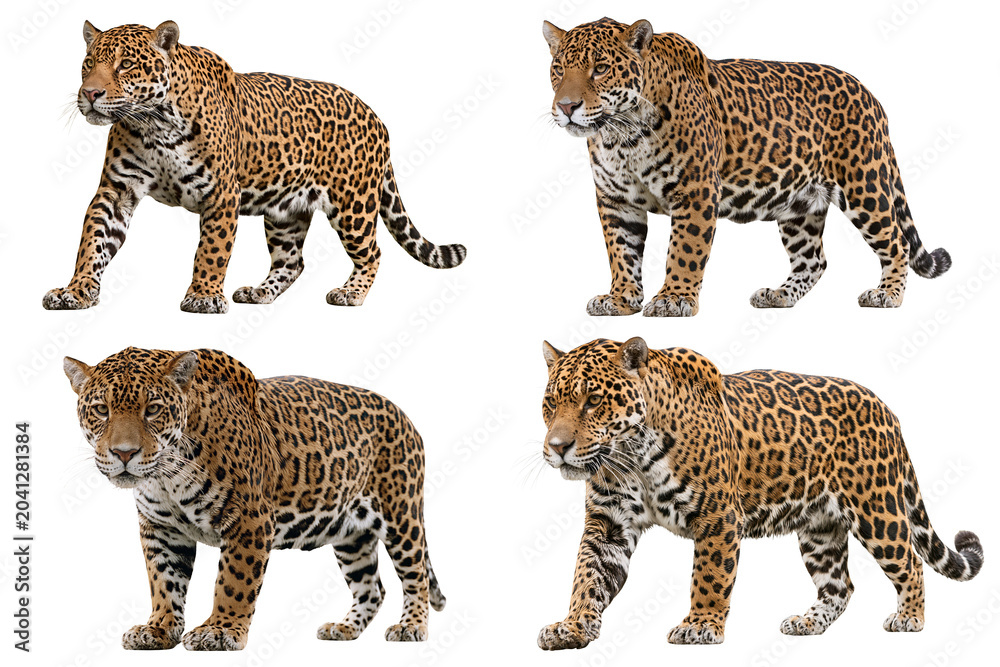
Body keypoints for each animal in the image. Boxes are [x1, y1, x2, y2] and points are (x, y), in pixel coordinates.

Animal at [44, 20, 466, 314]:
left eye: (126, 64)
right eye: (87, 64)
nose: (90, 93)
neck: (154, 124)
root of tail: (376, 117)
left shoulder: (220, 194)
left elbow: (212, 250)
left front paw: (203, 297)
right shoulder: (116, 192)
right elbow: (92, 243)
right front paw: (75, 291)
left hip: (353, 204)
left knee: (373, 252)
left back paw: (350, 293)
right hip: (286, 212)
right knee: (292, 261)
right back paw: (259, 292)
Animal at [63, 346, 446, 650]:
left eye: (153, 409)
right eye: (101, 410)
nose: (124, 453)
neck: (166, 476)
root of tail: (406, 417)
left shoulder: (249, 520)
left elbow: (234, 581)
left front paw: (219, 631)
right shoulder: (160, 528)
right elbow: (163, 581)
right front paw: (159, 629)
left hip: (402, 517)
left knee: (415, 576)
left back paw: (411, 627)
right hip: (351, 535)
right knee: (372, 588)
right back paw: (344, 628)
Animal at [536, 337, 983, 647]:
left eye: (594, 401)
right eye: (550, 403)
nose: (557, 447)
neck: (632, 456)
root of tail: (886, 408)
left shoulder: (718, 518)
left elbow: (709, 576)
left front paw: (700, 625)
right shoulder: (609, 522)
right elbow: (586, 577)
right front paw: (571, 627)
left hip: (877, 510)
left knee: (910, 563)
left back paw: (909, 618)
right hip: (820, 528)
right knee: (840, 586)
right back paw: (807, 623)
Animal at [543, 17, 950, 317]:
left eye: (600, 69)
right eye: (558, 69)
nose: (566, 106)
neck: (622, 134)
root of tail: (871, 95)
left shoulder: (696, 191)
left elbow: (685, 249)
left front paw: (673, 299)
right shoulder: (616, 200)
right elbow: (621, 253)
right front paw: (620, 299)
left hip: (864, 185)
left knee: (895, 240)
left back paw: (887, 295)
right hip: (799, 205)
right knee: (813, 260)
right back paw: (779, 296)